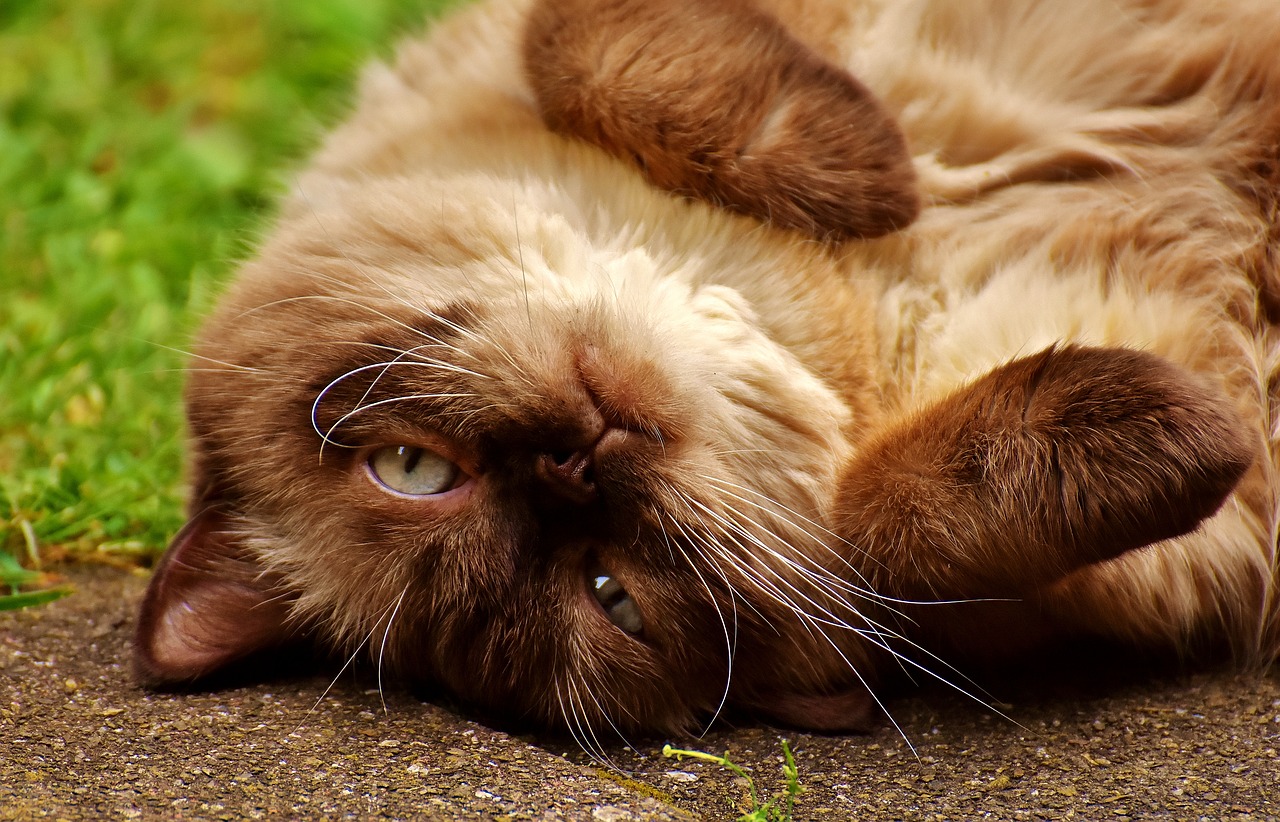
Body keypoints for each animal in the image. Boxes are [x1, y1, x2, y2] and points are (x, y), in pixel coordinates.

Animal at [132, 0, 1280, 732]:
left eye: (410, 469)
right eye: (612, 593)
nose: (574, 463)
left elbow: (588, 48)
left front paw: (869, 174)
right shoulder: (1210, 526)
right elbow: (878, 525)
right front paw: (1168, 420)